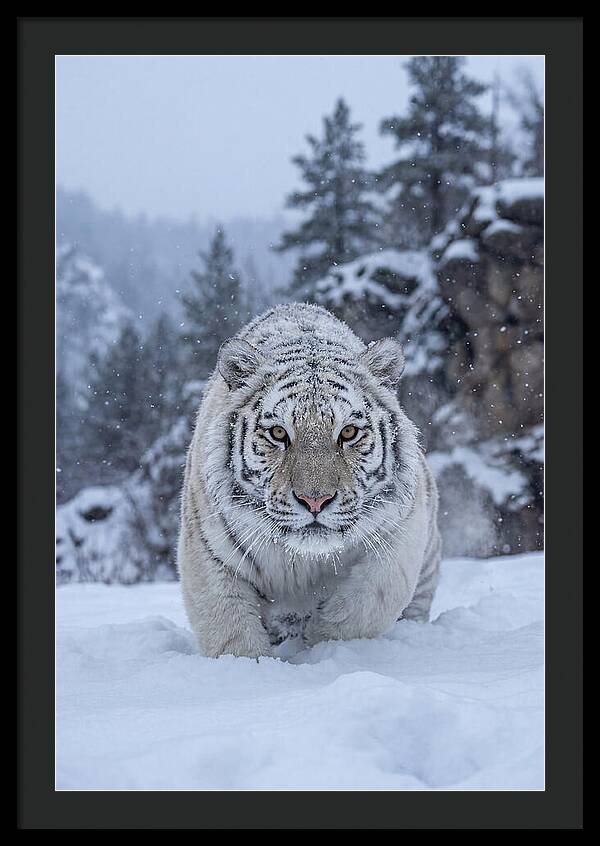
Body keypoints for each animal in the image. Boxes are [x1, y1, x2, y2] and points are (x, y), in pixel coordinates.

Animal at [177, 303, 441, 658]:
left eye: (348, 432)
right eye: (278, 433)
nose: (315, 500)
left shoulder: (400, 533)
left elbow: (365, 604)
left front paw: (322, 643)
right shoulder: (208, 552)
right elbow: (231, 631)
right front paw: (251, 665)